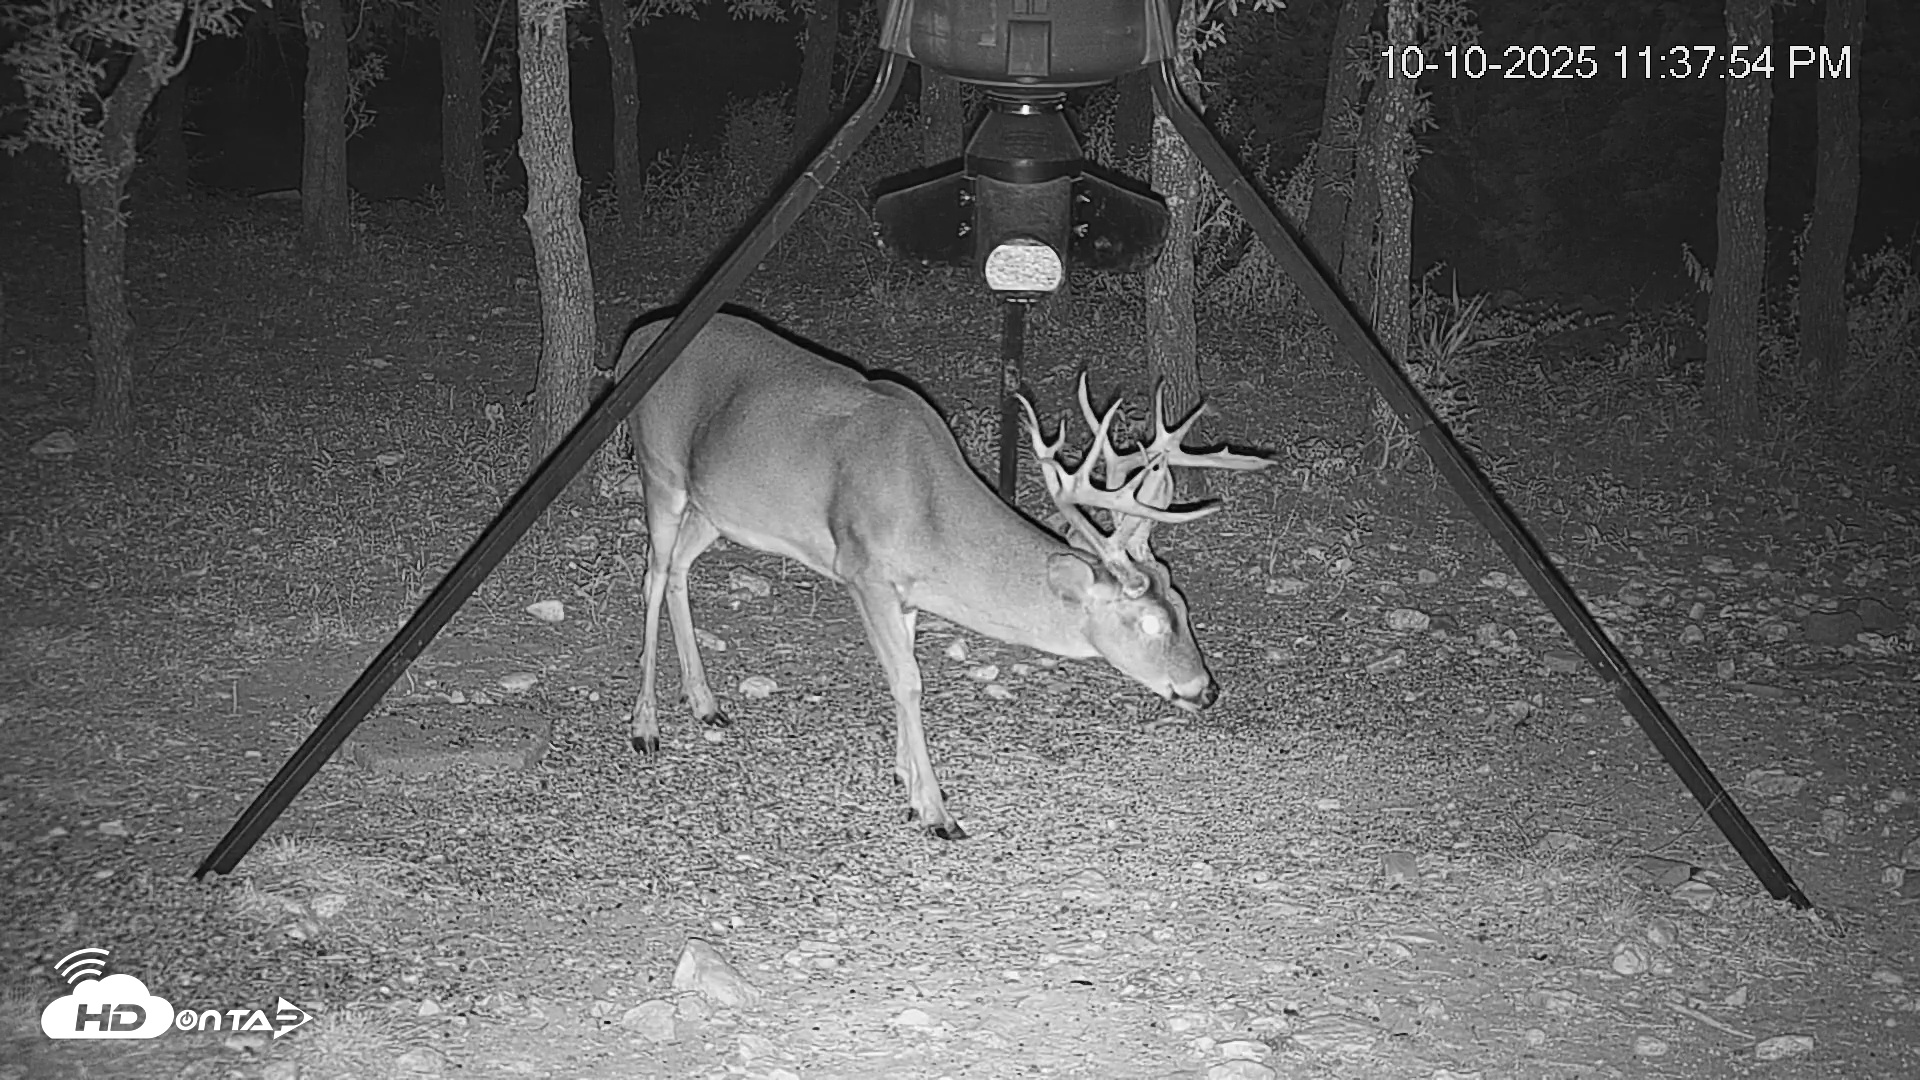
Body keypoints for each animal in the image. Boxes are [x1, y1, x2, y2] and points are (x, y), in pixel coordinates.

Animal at [611, 311, 1271, 839]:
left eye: (1184, 606)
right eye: (1151, 623)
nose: (1205, 689)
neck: (926, 510)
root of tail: (635, 339)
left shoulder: (906, 594)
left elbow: (906, 672)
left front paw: (906, 779)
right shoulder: (863, 570)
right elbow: (908, 680)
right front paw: (936, 811)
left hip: (715, 510)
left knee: (678, 570)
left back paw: (705, 703)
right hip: (659, 469)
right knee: (651, 574)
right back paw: (645, 726)